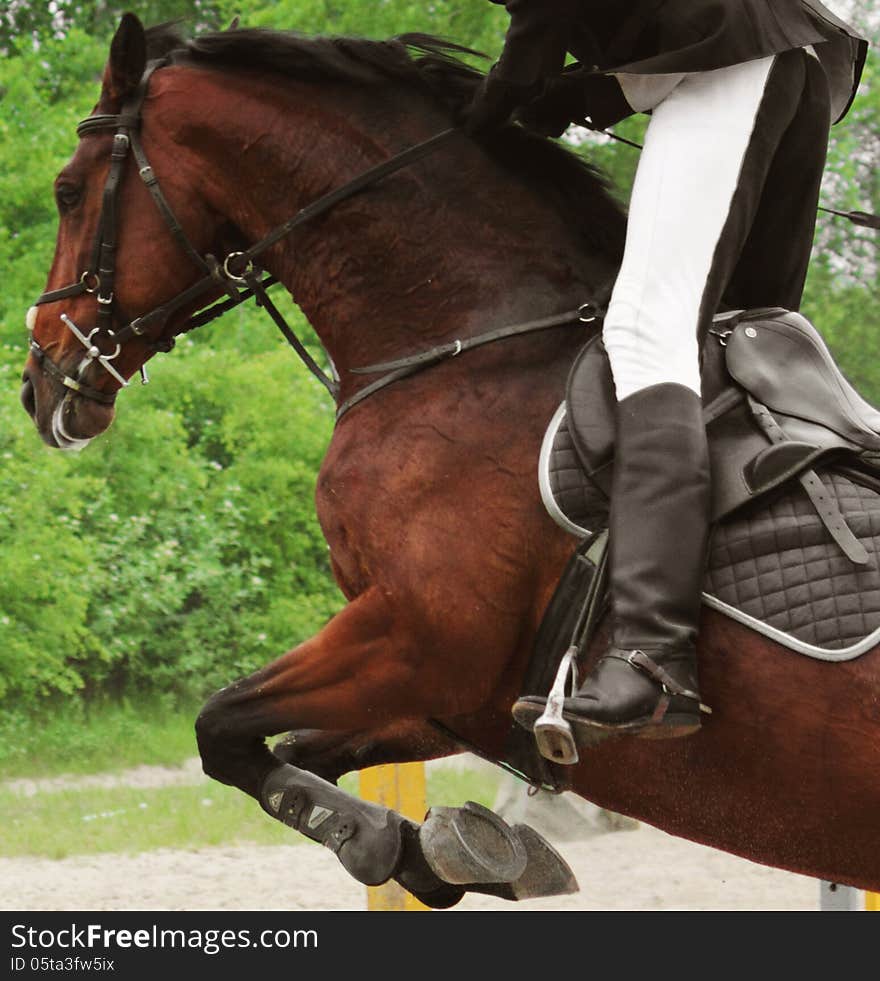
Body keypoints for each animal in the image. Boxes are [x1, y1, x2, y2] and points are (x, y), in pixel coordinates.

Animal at [20, 13, 880, 904]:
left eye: (68, 191)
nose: (38, 381)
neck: (472, 345)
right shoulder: (455, 699)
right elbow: (293, 750)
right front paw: (452, 849)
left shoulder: (416, 639)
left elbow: (219, 727)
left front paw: (381, 838)